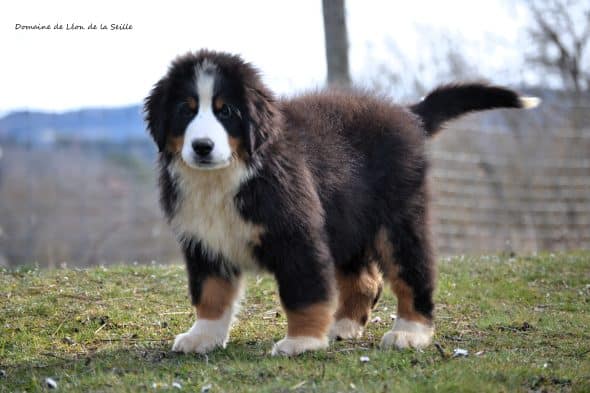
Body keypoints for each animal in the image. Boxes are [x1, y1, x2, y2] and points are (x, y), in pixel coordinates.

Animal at [145, 49, 540, 356]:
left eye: (225, 111)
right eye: (186, 110)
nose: (202, 147)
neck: (227, 176)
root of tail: (408, 114)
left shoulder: (297, 235)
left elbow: (303, 293)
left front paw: (302, 341)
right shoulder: (204, 240)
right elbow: (210, 293)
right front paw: (203, 337)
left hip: (398, 219)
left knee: (413, 272)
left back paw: (409, 332)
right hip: (346, 221)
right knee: (365, 280)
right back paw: (343, 326)